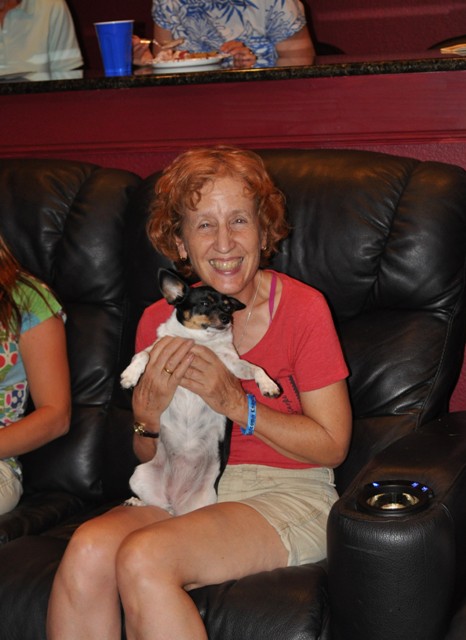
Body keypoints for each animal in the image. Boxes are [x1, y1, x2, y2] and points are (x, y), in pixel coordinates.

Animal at [120, 268, 280, 516]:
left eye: (227, 307)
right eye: (205, 303)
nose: (226, 318)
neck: (199, 341)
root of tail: (176, 505)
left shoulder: (232, 364)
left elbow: (256, 368)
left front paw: (268, 385)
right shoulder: (158, 352)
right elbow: (142, 355)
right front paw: (129, 375)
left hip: (204, 500)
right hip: (139, 475)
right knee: (156, 503)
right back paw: (137, 502)